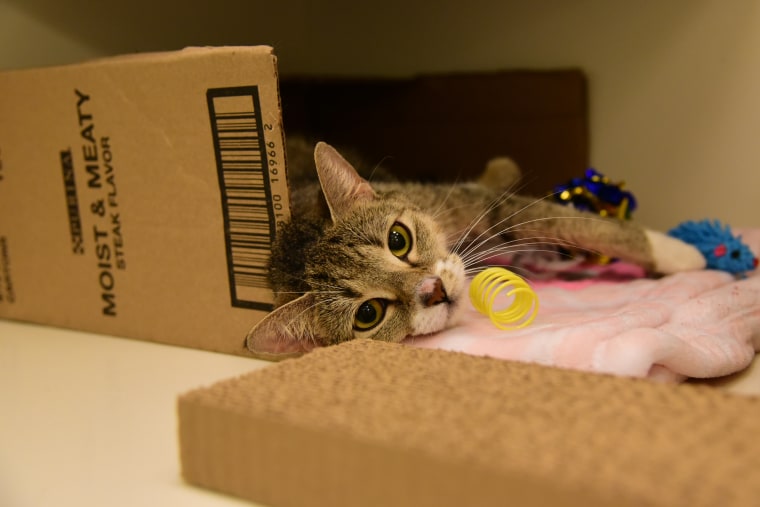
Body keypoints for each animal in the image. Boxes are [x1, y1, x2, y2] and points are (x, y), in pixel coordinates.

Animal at [245, 141, 708, 360]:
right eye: (368, 314)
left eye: (398, 240)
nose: (433, 290)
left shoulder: (483, 205)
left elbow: (576, 222)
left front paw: (677, 251)